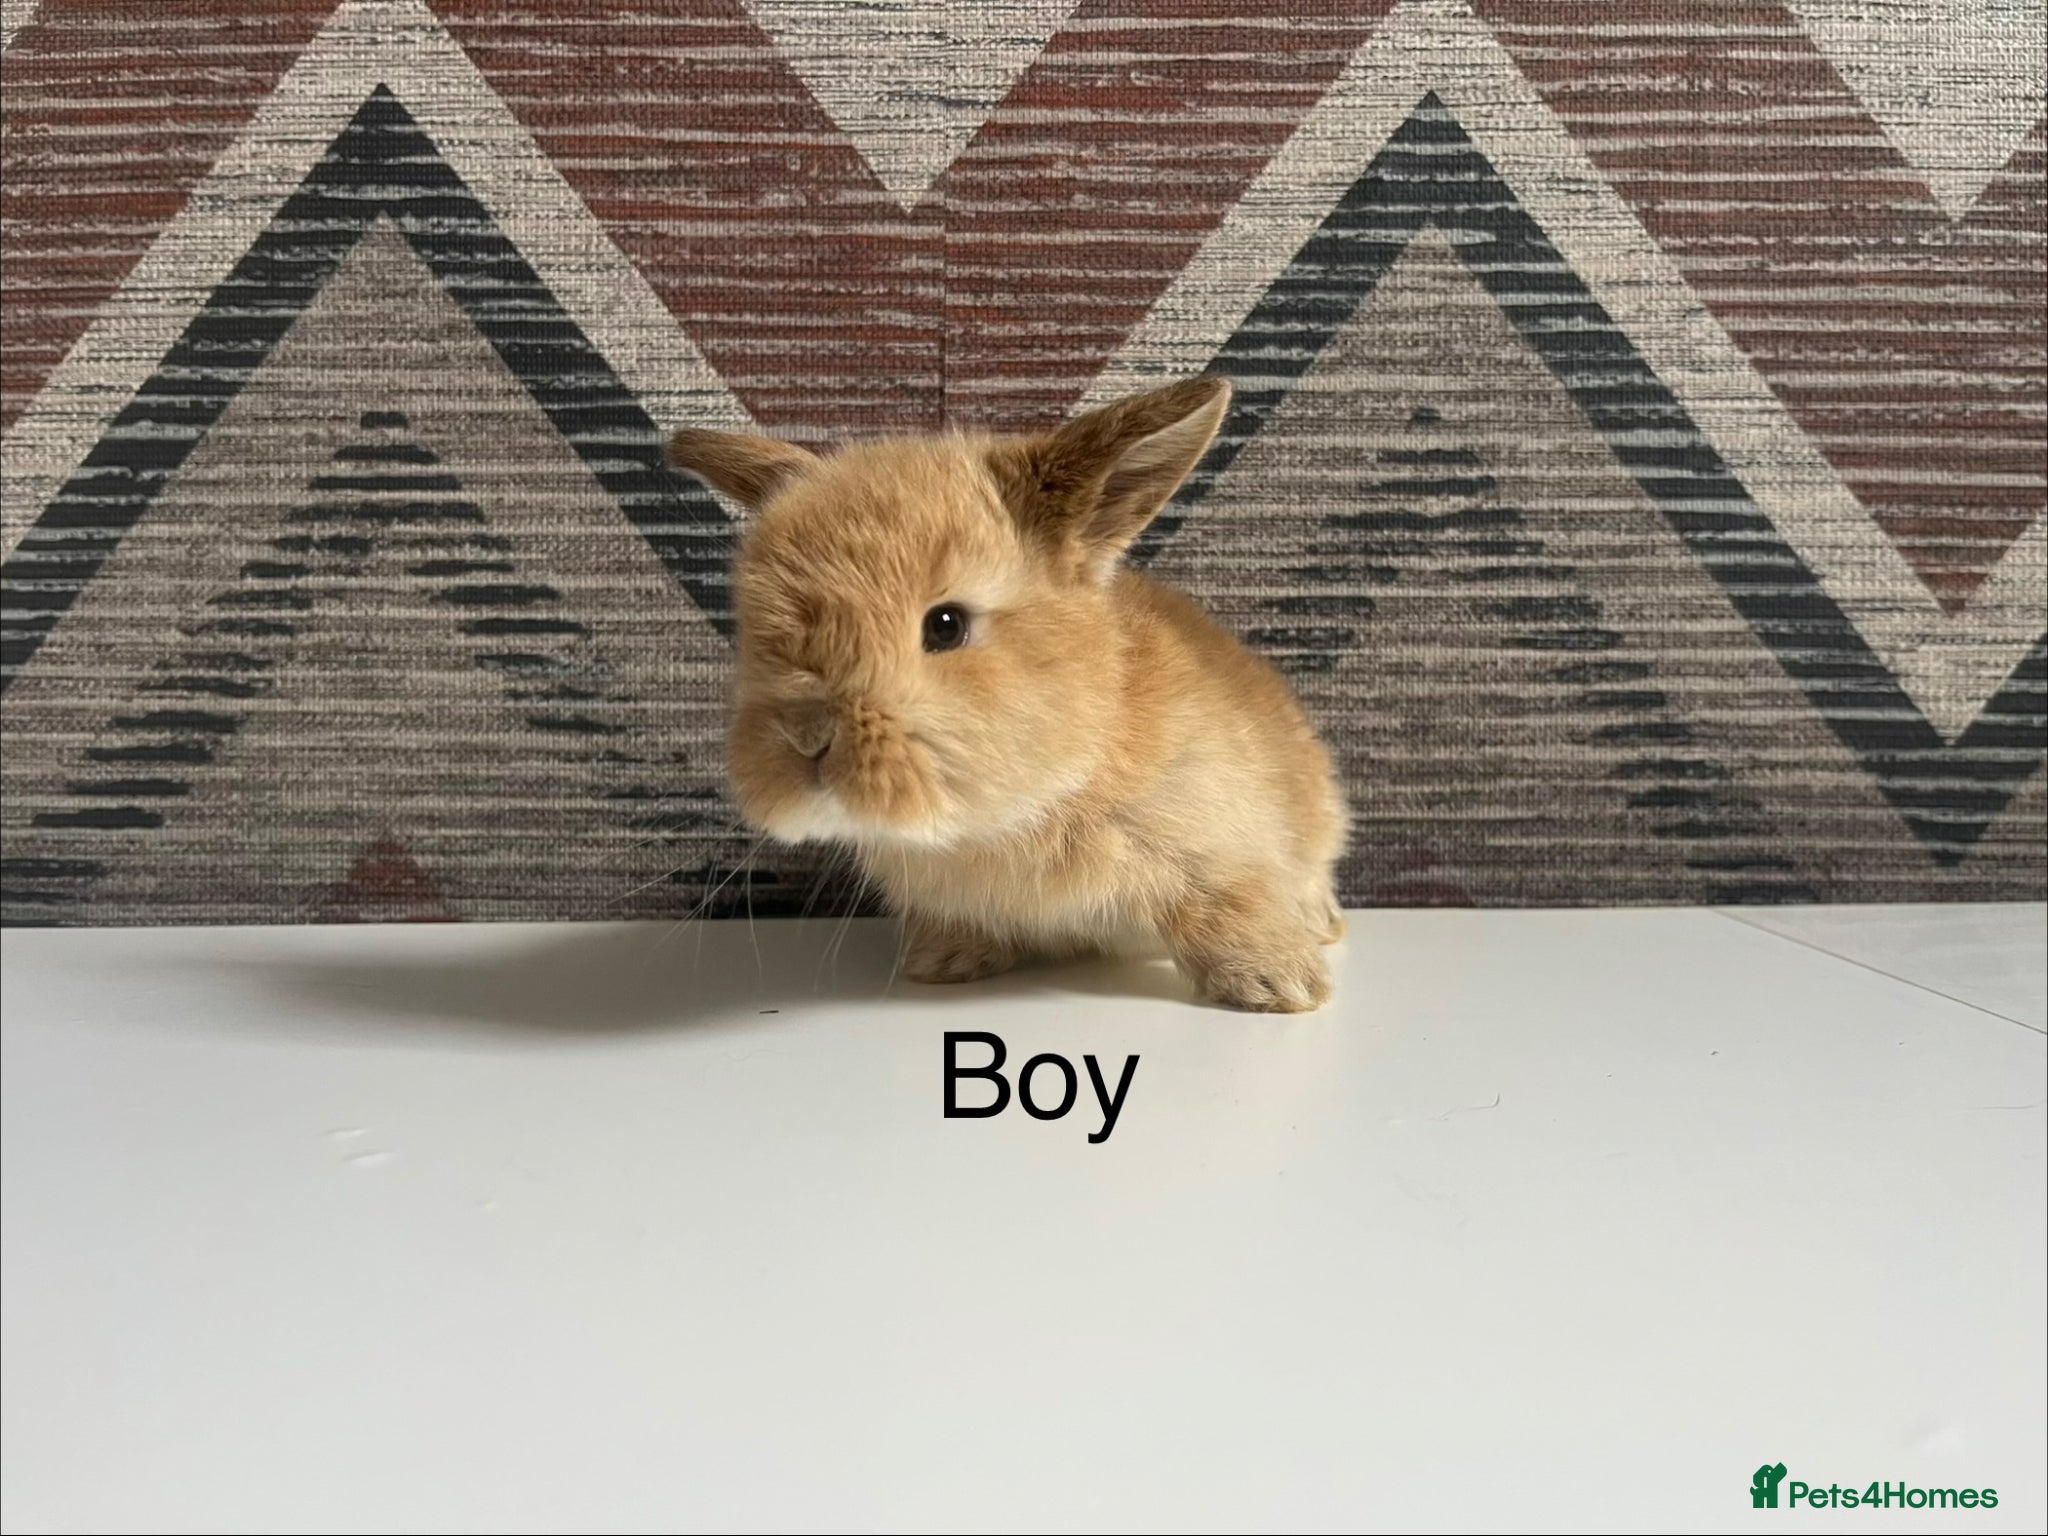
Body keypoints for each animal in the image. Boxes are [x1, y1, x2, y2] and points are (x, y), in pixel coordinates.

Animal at [668, 376, 1348, 1012]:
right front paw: (943, 963)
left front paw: (1281, 986)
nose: (808, 738)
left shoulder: (1214, 851)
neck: (1004, 818)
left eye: (946, 625)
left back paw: (1321, 926)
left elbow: (1223, 908)